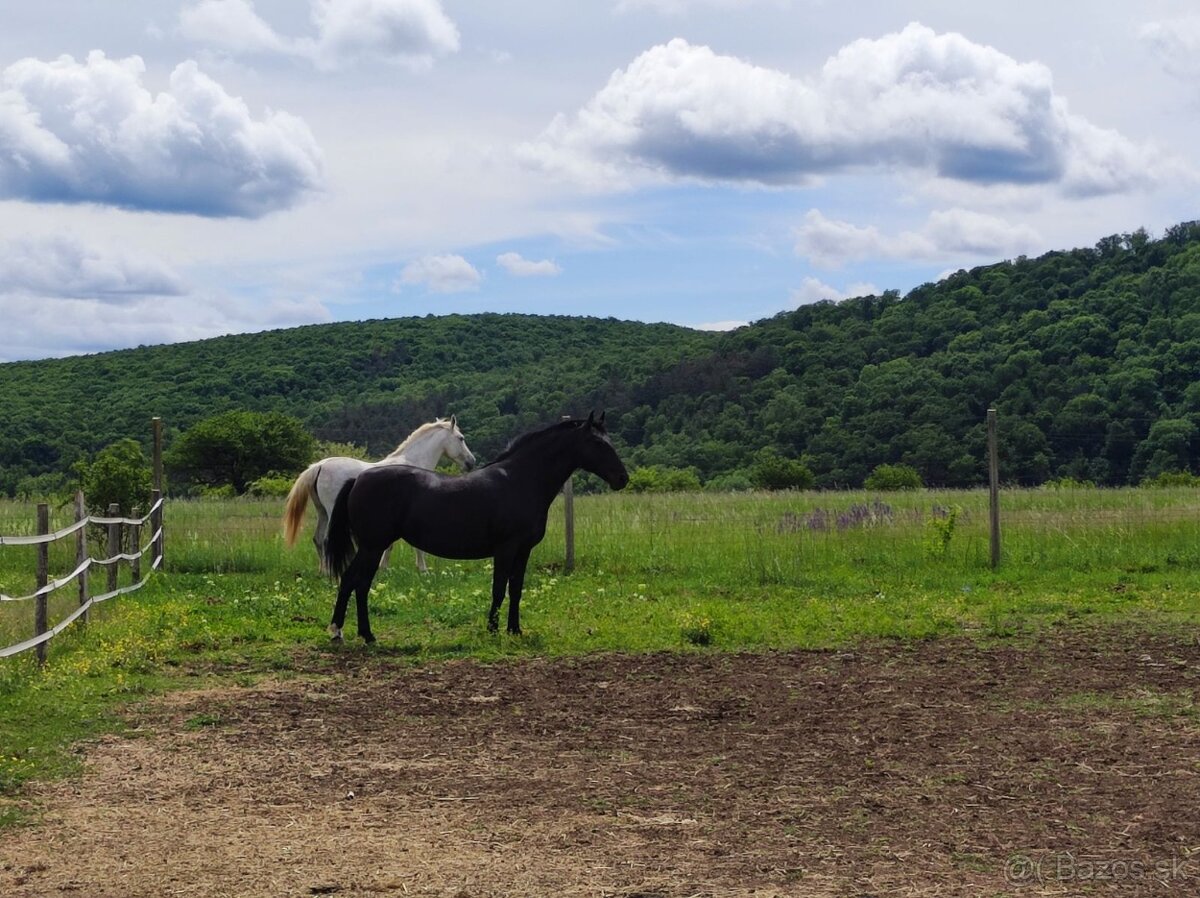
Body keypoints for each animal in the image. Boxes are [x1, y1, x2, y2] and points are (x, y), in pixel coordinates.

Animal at [283, 417, 475, 571]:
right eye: (461, 438)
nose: (471, 462)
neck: (412, 462)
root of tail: (319, 466)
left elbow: (389, 545)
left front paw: (383, 568)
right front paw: (423, 570)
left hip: (322, 511)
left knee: (318, 539)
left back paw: (323, 571)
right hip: (332, 512)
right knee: (326, 540)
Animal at [324, 410, 633, 643]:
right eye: (598, 444)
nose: (622, 478)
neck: (520, 480)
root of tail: (358, 479)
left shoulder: (523, 551)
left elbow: (516, 589)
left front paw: (515, 630)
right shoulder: (506, 549)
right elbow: (498, 589)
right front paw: (493, 630)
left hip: (372, 548)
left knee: (357, 584)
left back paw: (359, 634)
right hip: (372, 546)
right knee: (354, 582)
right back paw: (346, 632)